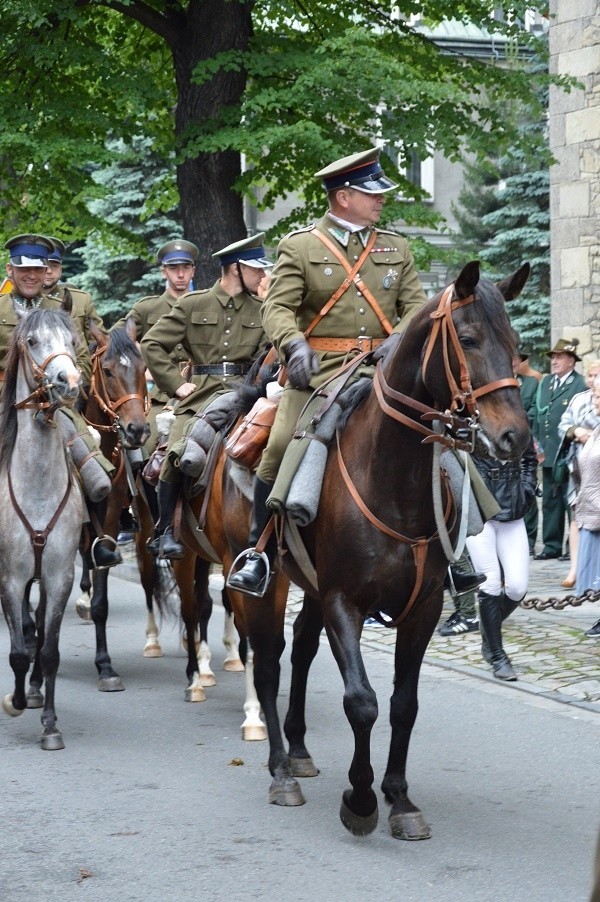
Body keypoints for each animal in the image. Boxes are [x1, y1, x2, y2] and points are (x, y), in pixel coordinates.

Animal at [220, 262, 528, 840]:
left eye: (517, 344)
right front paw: (361, 800)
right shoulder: (346, 601)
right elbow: (361, 702)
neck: (394, 480)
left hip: (312, 587)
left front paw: (399, 798)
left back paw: (298, 750)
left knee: (301, 649)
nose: (515, 438)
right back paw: (280, 769)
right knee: (269, 664)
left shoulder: (423, 607)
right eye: (468, 339)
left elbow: (404, 704)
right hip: (266, 585)